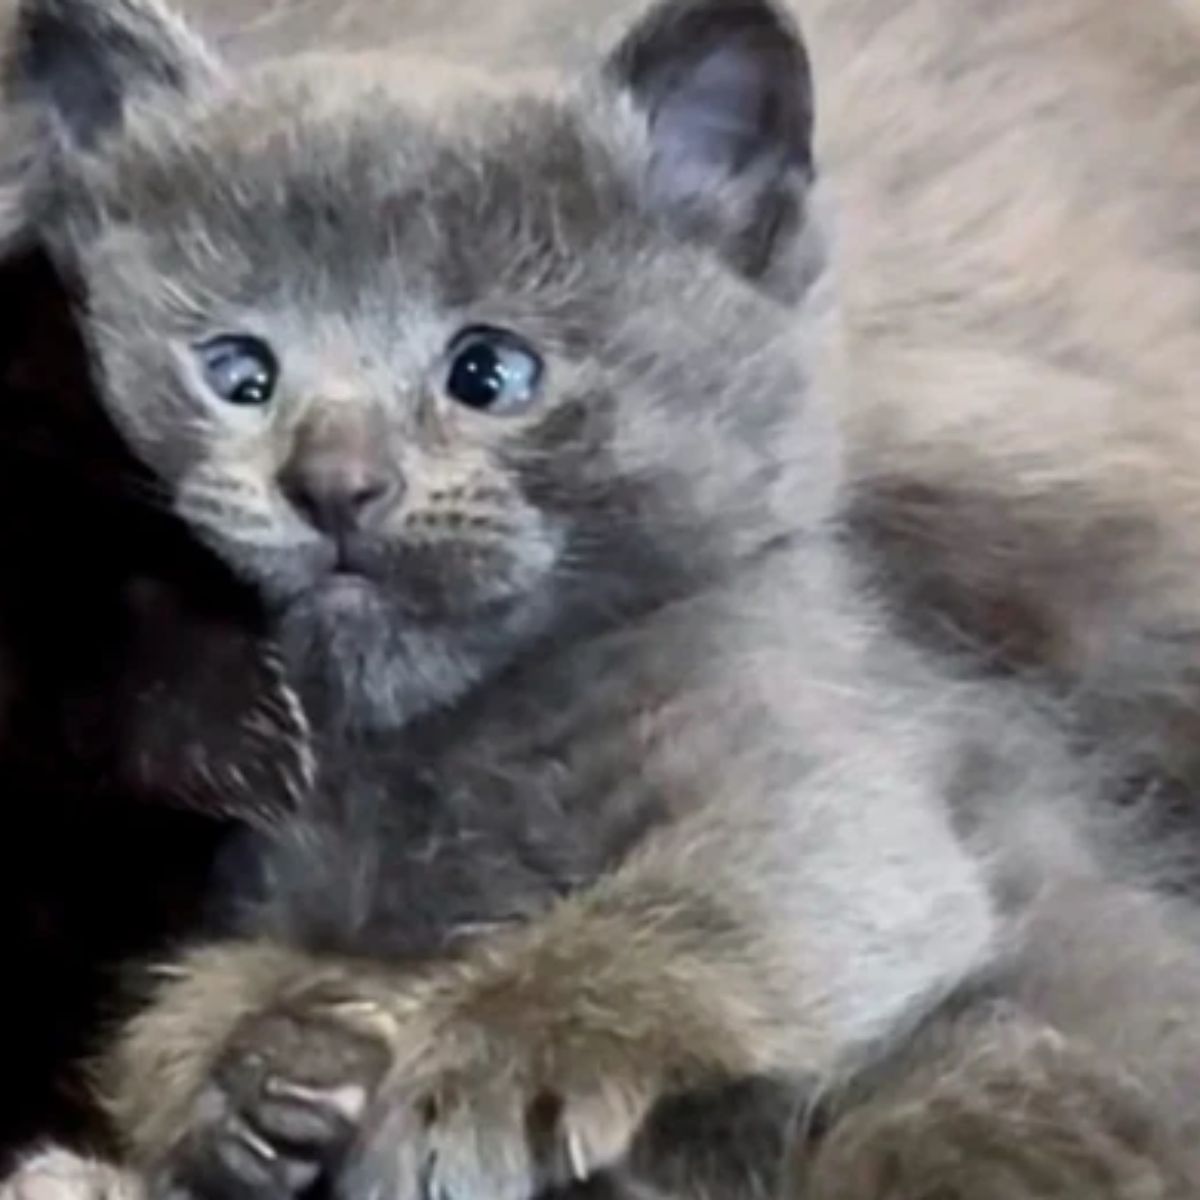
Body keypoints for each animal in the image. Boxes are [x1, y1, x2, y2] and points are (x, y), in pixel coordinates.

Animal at [2, 2, 1200, 1200]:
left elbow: (710, 903)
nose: (334, 482)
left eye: (489, 372)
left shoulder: (846, 787)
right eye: (238, 373)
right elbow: (176, 1010)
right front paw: (256, 1064)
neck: (442, 745)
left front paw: (479, 1064)